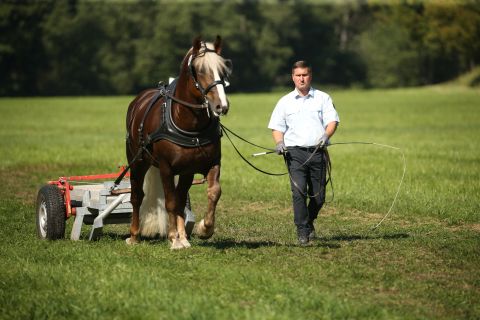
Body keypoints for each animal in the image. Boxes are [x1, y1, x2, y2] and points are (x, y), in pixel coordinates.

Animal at [124, 36, 232, 249]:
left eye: (223, 71)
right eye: (200, 70)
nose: (221, 106)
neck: (191, 126)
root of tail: (138, 101)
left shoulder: (211, 163)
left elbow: (213, 192)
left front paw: (204, 229)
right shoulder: (166, 168)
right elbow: (170, 202)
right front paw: (173, 238)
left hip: (186, 171)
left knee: (181, 197)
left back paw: (183, 237)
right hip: (138, 162)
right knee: (137, 196)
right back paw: (134, 235)